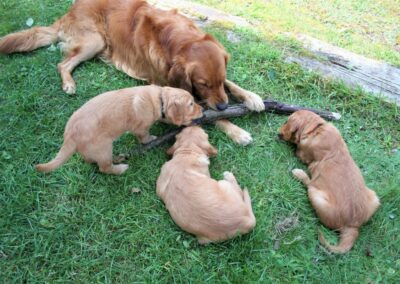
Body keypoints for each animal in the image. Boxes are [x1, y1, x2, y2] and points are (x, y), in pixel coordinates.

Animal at [35, 84, 202, 174]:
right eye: (191, 104)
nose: (202, 109)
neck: (159, 99)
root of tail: (70, 134)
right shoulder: (140, 127)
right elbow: (144, 136)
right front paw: (151, 139)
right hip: (104, 148)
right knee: (104, 168)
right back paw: (121, 168)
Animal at [280, 110, 380, 253]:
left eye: (286, 121)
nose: (278, 134)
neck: (316, 128)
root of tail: (352, 226)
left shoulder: (304, 154)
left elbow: (299, 151)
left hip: (316, 194)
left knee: (309, 184)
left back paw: (299, 173)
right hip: (375, 197)